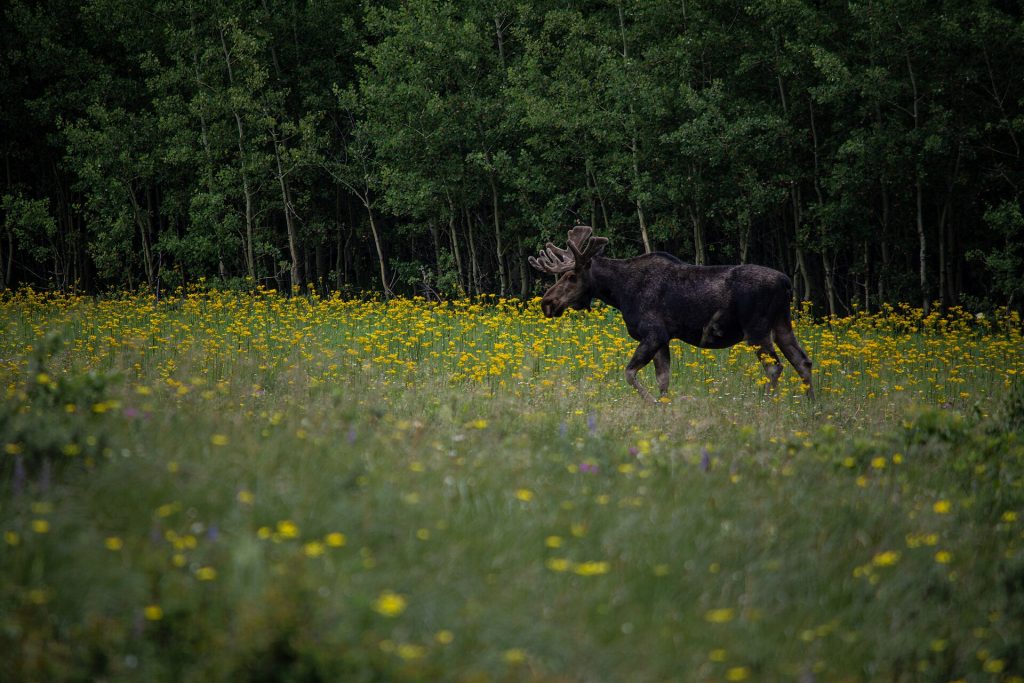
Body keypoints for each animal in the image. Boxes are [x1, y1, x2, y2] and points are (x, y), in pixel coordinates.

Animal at [529, 225, 814, 402]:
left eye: (571, 276)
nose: (547, 303)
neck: (619, 293)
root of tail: (787, 283)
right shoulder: (663, 339)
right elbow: (663, 380)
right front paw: (664, 407)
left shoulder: (653, 333)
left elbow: (629, 374)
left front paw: (653, 403)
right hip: (782, 325)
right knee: (802, 362)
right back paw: (809, 405)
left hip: (756, 330)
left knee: (775, 367)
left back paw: (765, 403)